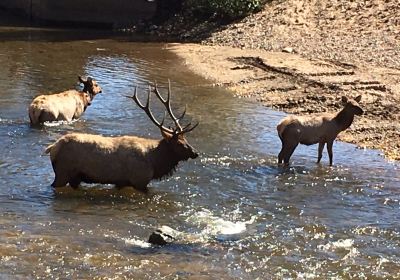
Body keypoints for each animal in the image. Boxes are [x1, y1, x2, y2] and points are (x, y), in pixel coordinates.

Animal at [45, 80, 198, 191]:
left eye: (186, 139)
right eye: (179, 143)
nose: (195, 152)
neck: (155, 162)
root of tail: (52, 147)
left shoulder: (121, 182)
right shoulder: (140, 180)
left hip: (74, 177)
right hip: (63, 172)